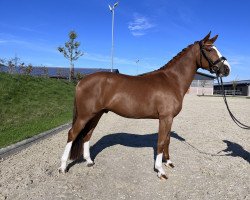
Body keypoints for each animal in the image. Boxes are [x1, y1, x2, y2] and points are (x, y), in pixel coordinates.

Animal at [58, 32, 230, 179]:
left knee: (87, 135)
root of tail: (81, 81)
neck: (172, 80)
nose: (226, 69)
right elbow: (161, 142)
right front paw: (160, 170)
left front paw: (168, 162)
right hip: (85, 115)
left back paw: (89, 161)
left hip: (96, 114)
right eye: (209, 49)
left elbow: (167, 140)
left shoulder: (169, 119)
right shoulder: (165, 118)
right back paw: (62, 167)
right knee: (72, 134)